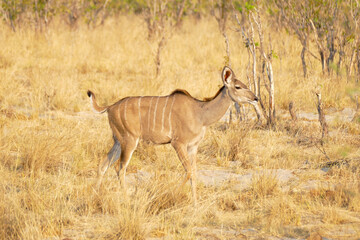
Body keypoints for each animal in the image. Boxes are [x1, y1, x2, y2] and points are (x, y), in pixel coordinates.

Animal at [88, 66, 260, 204]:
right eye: (238, 86)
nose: (255, 98)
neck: (200, 113)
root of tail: (109, 107)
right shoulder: (178, 143)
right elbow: (189, 171)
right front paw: (172, 195)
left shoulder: (193, 147)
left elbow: (194, 173)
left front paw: (195, 204)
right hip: (129, 141)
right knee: (120, 168)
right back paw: (126, 200)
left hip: (118, 141)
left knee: (103, 165)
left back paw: (95, 196)